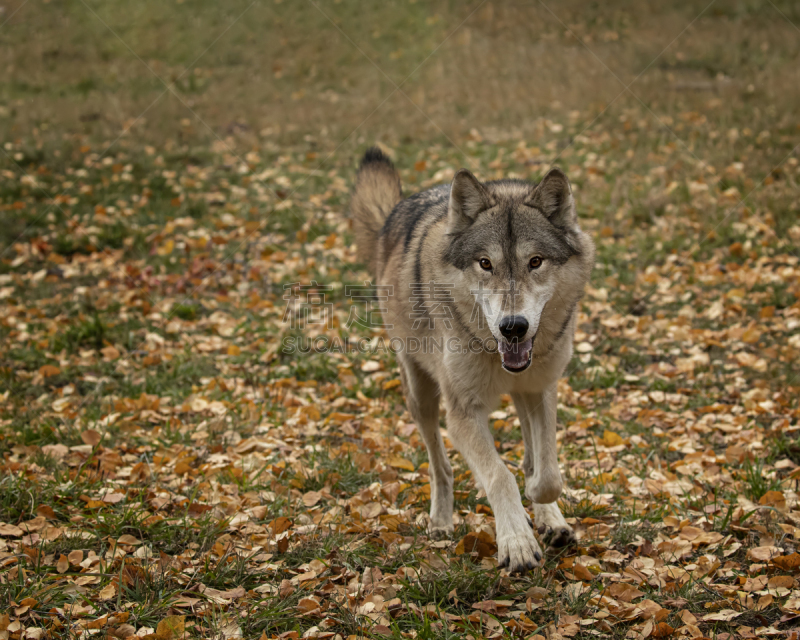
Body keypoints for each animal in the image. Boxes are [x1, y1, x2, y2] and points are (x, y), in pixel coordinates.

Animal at [350, 148, 592, 572]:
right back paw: (441, 523)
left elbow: (546, 472)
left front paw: (541, 506)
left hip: (520, 396)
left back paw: (550, 519)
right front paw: (517, 543)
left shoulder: (542, 388)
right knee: (441, 467)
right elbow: (499, 475)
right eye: (485, 263)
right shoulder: (462, 411)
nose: (513, 327)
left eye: (536, 261)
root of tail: (398, 209)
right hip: (421, 397)